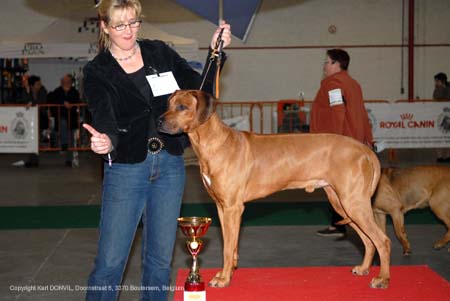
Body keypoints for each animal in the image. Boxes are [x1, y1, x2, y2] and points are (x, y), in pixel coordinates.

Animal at [161, 89, 390, 288]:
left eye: (182, 106)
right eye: (168, 104)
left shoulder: (233, 208)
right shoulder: (222, 207)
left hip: (353, 203)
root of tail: (364, 149)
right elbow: (230, 243)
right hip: (342, 204)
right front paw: (229, 272)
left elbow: (227, 248)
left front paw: (224, 279)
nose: (159, 121)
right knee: (369, 241)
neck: (215, 142)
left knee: (382, 241)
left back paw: (382, 279)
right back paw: (364, 268)